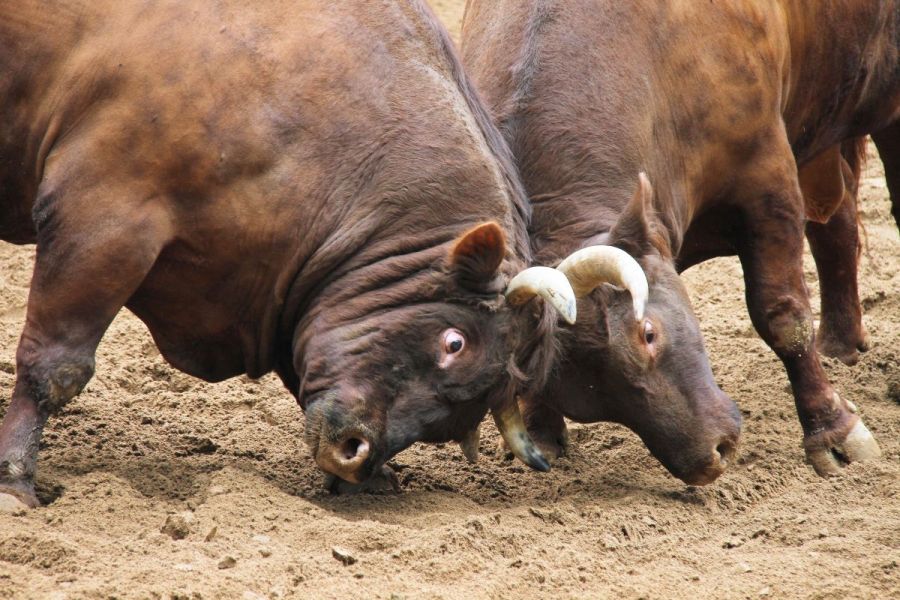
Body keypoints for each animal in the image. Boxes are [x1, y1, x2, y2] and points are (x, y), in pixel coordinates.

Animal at [460, 0, 896, 480]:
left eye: (648, 334)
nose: (712, 455)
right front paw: (542, 433)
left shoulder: (769, 186)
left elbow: (783, 316)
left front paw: (832, 431)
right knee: (837, 223)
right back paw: (839, 343)